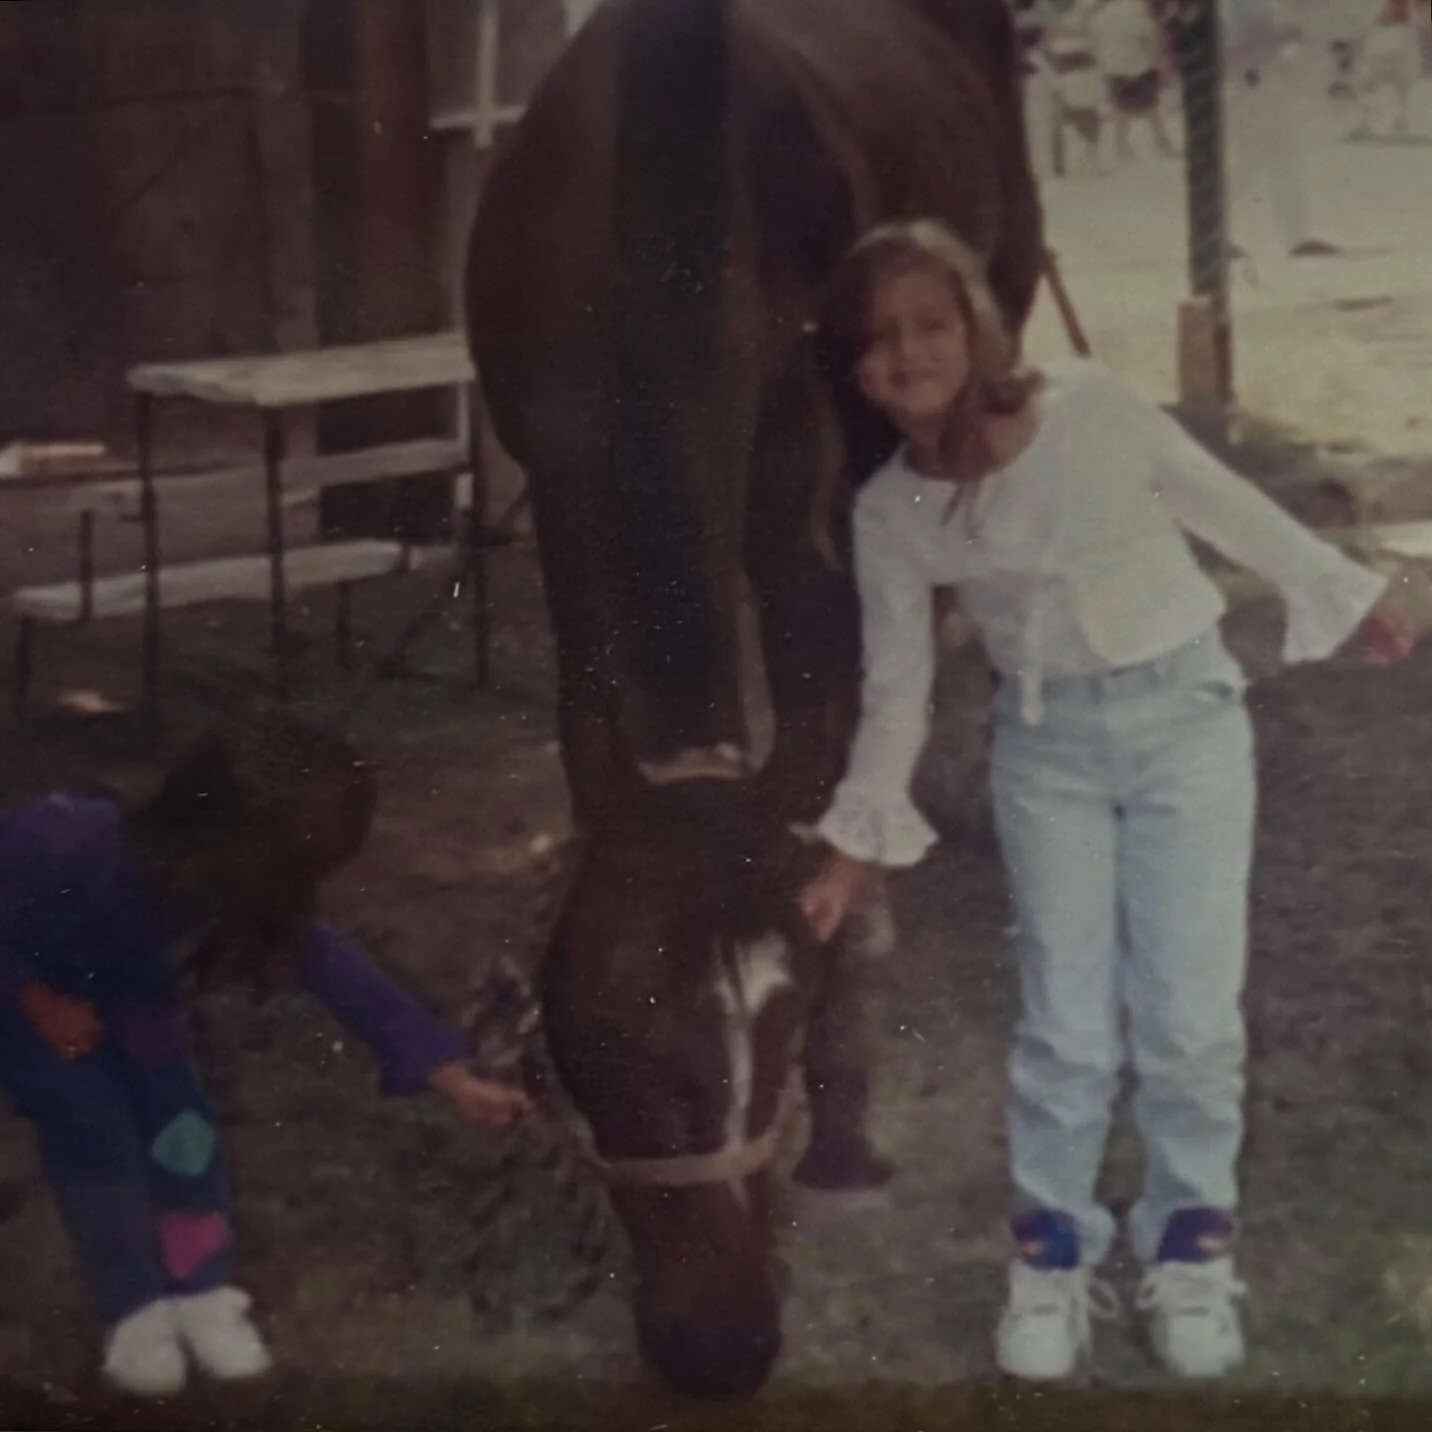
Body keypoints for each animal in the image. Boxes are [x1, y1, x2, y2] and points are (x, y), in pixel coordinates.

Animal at [466, 0, 1044, 1399]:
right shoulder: (555, 476)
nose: (719, 1346)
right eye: (595, 1035)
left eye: (780, 1031)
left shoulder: (807, 507)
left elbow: (832, 723)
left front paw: (842, 1113)